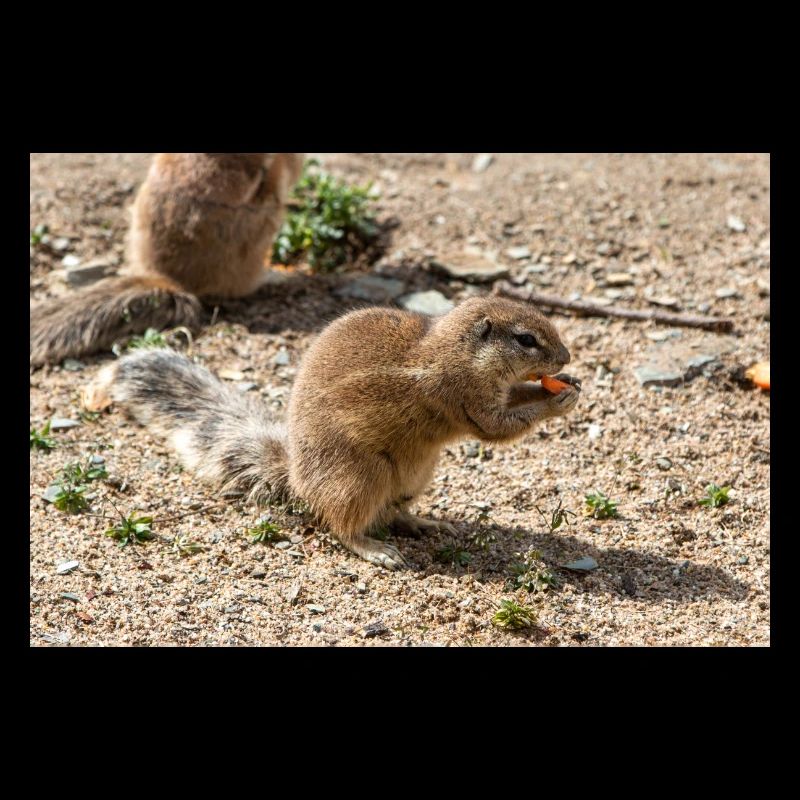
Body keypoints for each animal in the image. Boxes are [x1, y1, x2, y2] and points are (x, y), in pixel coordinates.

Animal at [84, 296, 581, 569]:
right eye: (525, 339)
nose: (567, 356)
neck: (452, 350)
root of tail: (296, 479)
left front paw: (565, 385)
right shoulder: (465, 398)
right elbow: (498, 428)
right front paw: (557, 400)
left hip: (415, 476)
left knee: (393, 512)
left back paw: (426, 523)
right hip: (360, 479)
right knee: (343, 526)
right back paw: (377, 550)